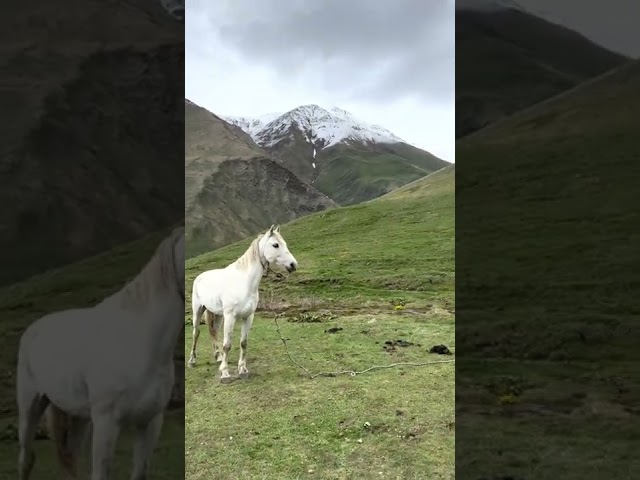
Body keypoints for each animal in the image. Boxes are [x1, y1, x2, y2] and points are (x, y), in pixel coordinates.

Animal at [16, 226, 185, 480]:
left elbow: (139, 472)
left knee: (70, 459)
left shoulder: (150, 422)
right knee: (26, 459)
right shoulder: (107, 423)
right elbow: (100, 472)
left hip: (78, 416)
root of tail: (34, 328)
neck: (141, 343)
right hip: (31, 406)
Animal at [189, 224, 298, 382]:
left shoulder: (248, 317)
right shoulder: (230, 317)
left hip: (217, 314)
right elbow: (227, 345)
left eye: (285, 243)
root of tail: (200, 277)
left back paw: (218, 356)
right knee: (196, 333)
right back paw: (192, 361)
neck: (244, 283)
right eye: (275, 245)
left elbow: (243, 343)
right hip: (198, 310)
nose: (293, 265)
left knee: (213, 331)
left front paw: (243, 370)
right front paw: (225, 374)